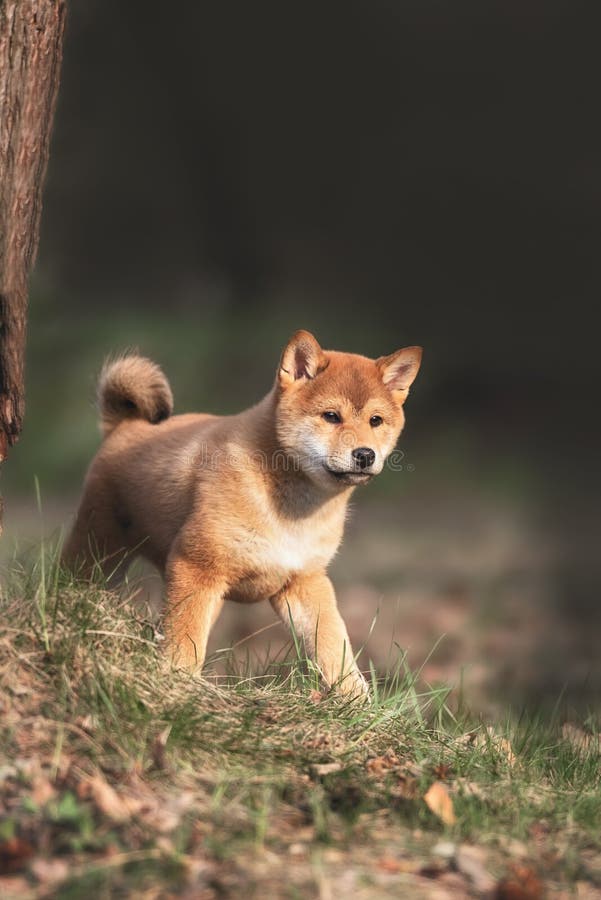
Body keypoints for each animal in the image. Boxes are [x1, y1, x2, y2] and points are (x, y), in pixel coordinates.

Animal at [63, 330, 422, 696]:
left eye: (376, 421)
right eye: (331, 416)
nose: (365, 455)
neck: (293, 509)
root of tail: (123, 426)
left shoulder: (305, 581)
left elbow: (334, 647)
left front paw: (359, 702)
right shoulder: (196, 566)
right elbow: (184, 645)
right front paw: (178, 686)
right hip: (99, 552)